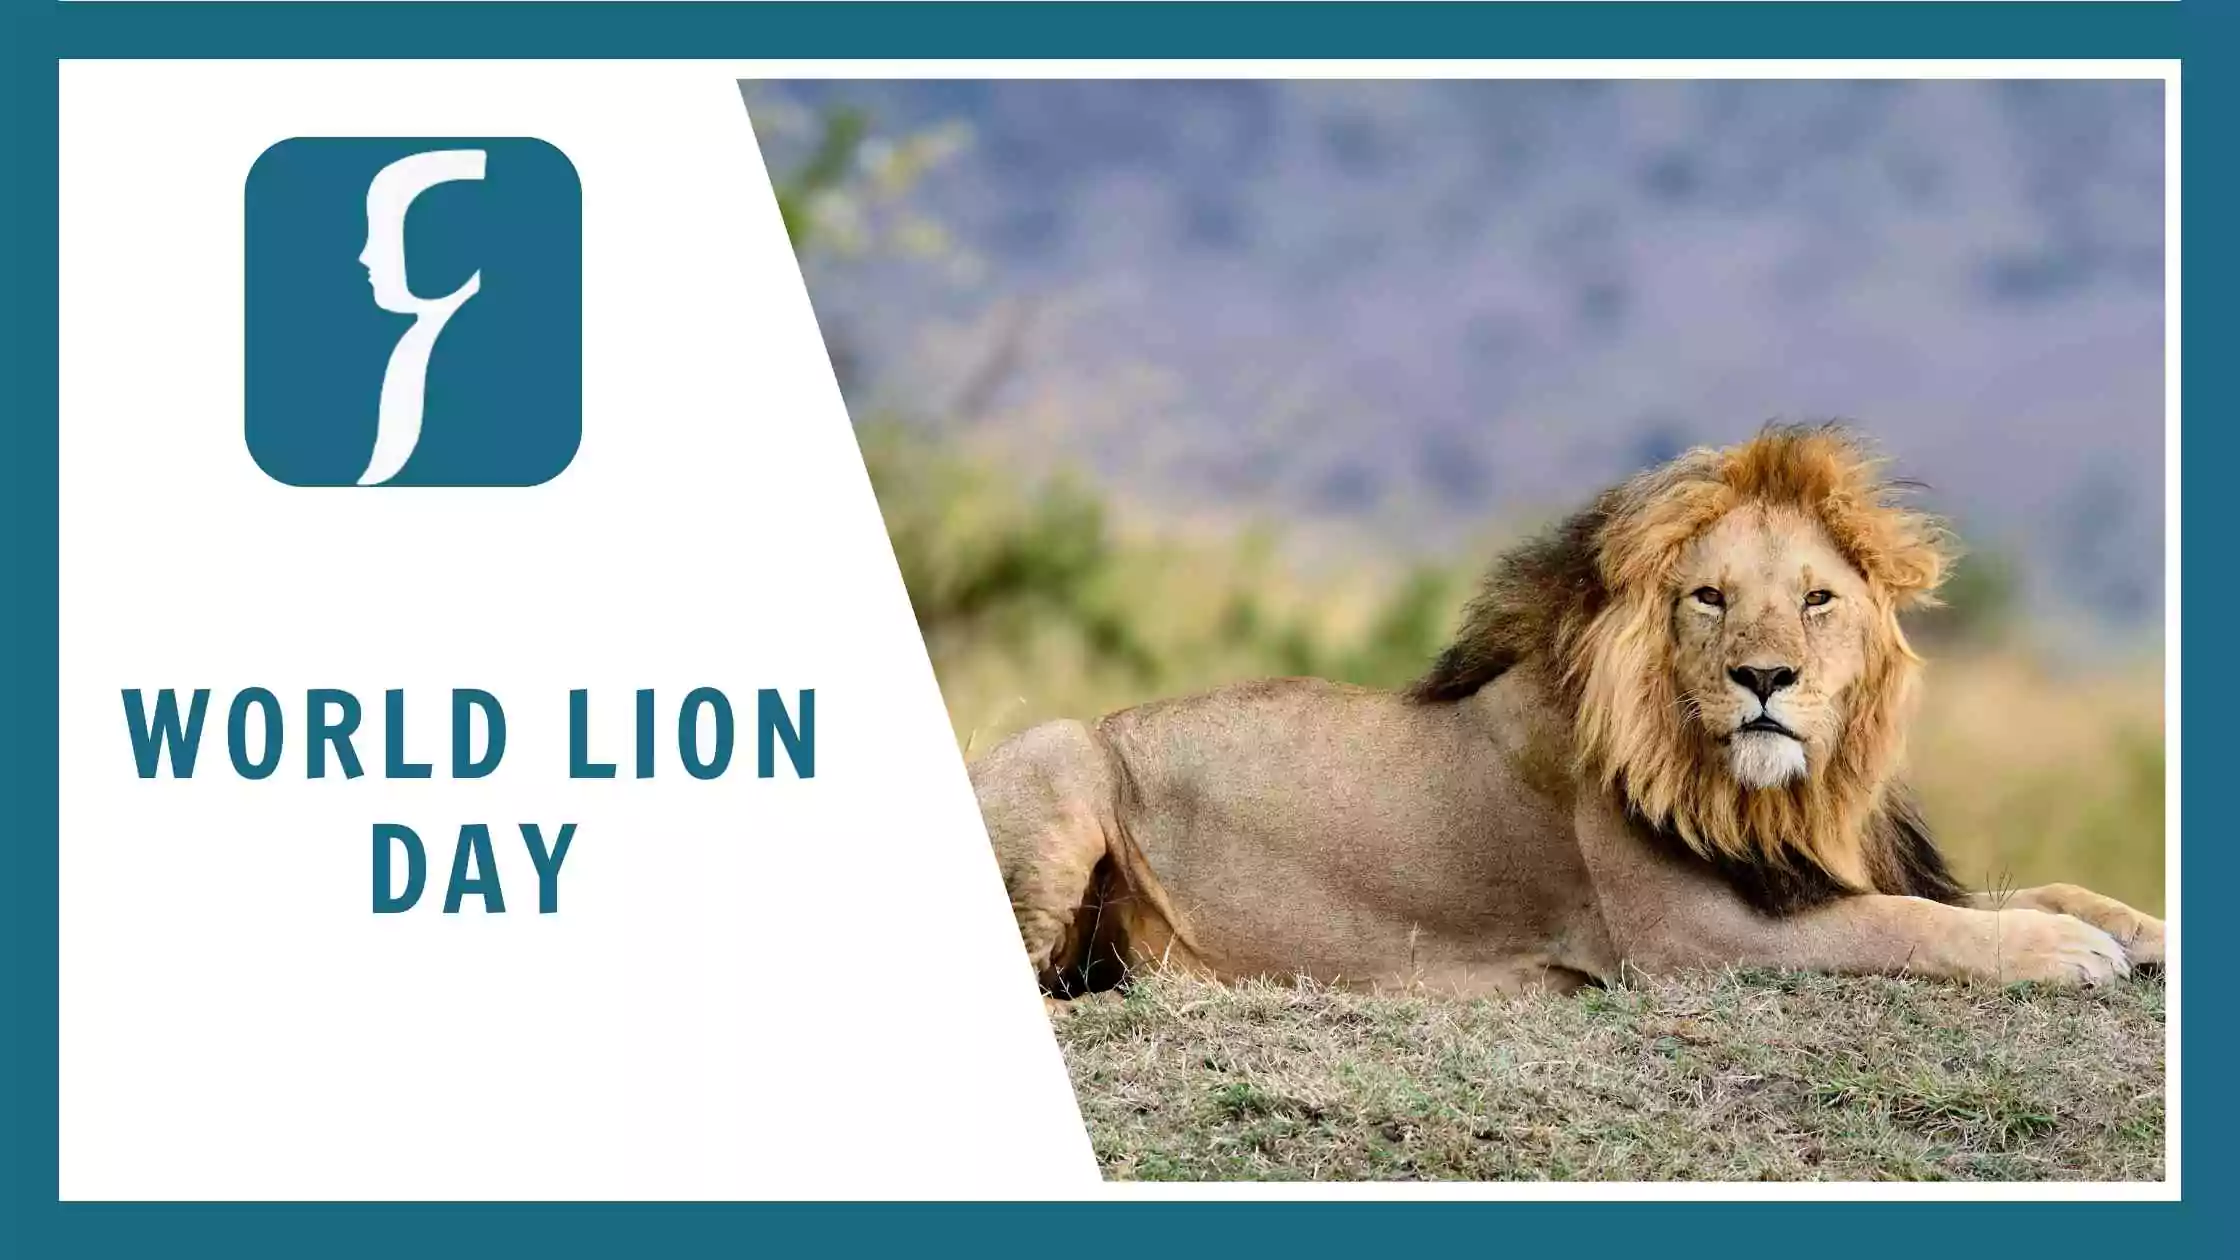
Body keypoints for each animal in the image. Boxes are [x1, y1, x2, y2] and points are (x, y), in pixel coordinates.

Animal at [970, 425, 2166, 999]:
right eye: (1708, 597)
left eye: (1816, 600)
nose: (1764, 679)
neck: (1791, 797)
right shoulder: (1690, 939)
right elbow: (1913, 924)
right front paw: (2063, 952)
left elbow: (2023, 887)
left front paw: (2133, 928)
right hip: (1063, 753)